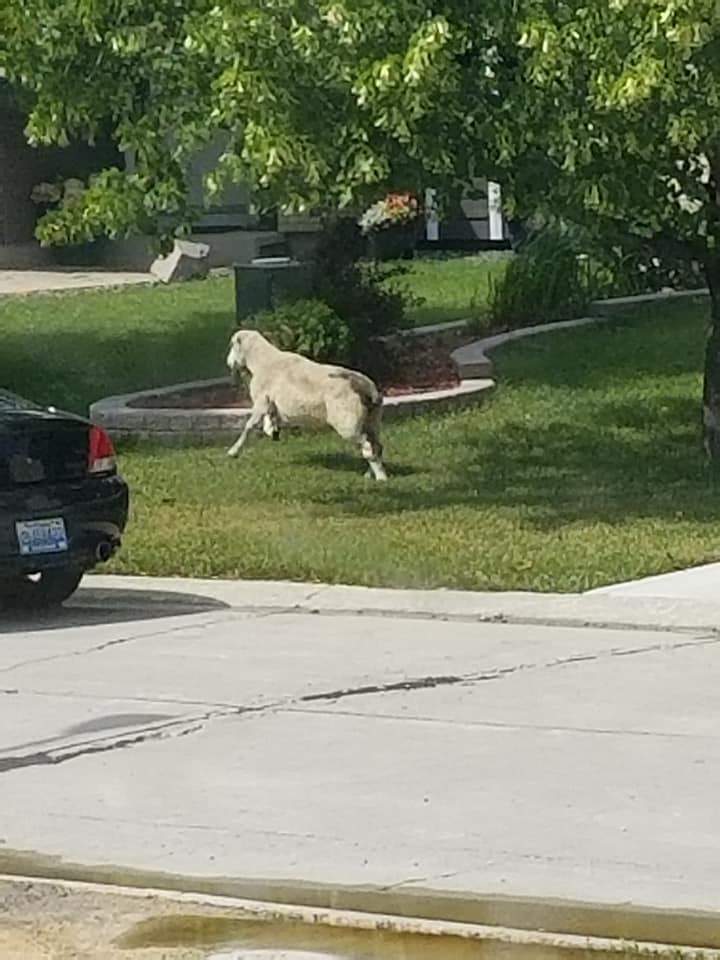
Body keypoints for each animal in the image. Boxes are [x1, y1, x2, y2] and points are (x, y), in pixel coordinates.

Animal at [226, 329, 387, 480]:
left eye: (232, 345)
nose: (229, 362)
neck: (263, 361)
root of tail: (366, 387)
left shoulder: (260, 401)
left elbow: (248, 427)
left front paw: (233, 451)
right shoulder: (268, 402)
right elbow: (269, 417)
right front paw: (271, 430)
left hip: (349, 424)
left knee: (368, 447)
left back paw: (381, 477)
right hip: (372, 420)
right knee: (377, 446)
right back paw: (370, 474)